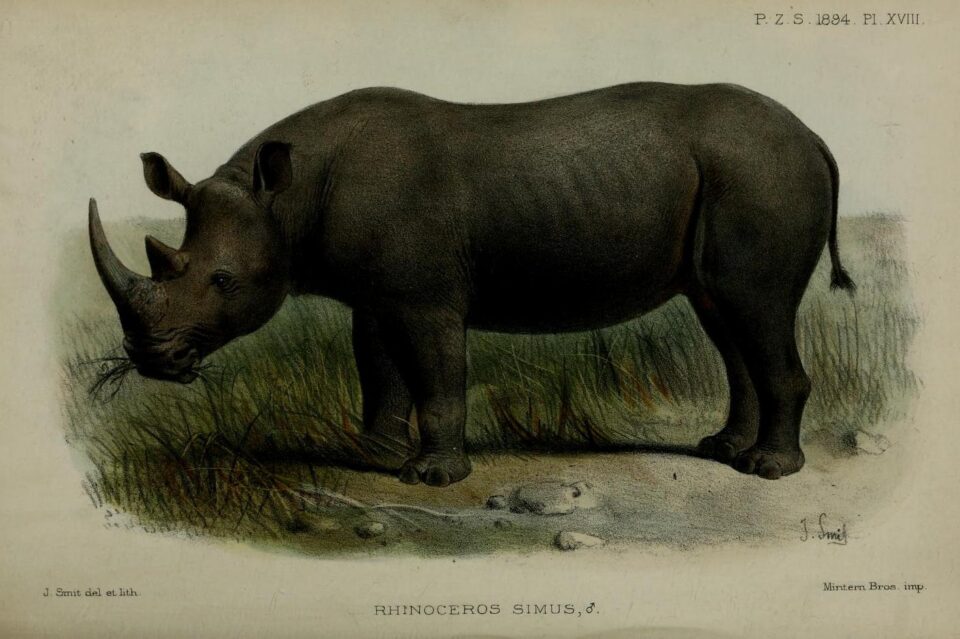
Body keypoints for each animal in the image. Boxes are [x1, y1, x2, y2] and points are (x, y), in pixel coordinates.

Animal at [89, 82, 854, 487]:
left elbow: (435, 376)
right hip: (741, 177)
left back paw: (769, 470)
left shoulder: (425, 297)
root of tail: (815, 137)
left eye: (222, 280)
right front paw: (372, 454)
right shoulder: (377, 295)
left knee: (754, 308)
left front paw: (431, 477)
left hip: (761, 173)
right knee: (724, 318)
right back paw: (722, 452)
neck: (286, 198)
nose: (151, 360)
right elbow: (379, 372)